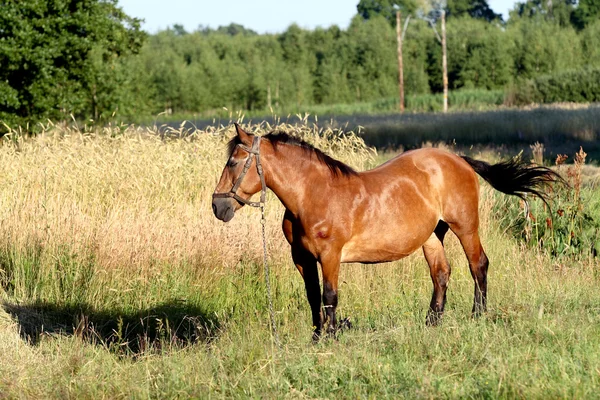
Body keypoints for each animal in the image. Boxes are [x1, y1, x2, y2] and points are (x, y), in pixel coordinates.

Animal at [212, 123, 564, 340]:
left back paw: (478, 315)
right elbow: (313, 297)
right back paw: (432, 321)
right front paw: (317, 335)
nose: (218, 206)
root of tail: (457, 159)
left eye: (233, 162)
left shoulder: (330, 256)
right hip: (432, 235)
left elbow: (329, 297)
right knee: (441, 273)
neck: (314, 194)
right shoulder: (302, 258)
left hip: (465, 226)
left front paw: (330, 336)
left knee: (478, 264)